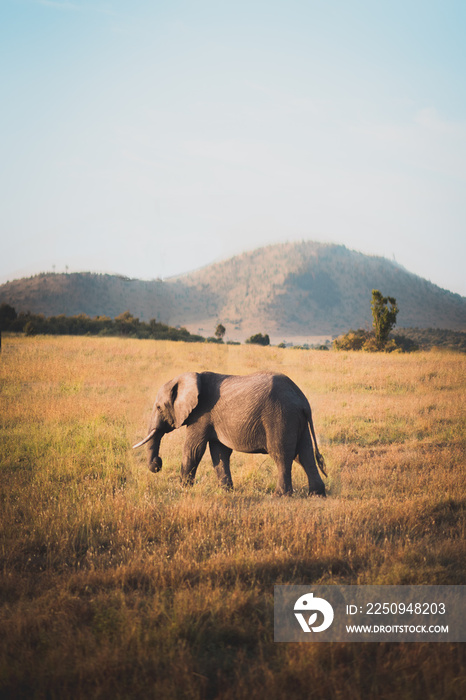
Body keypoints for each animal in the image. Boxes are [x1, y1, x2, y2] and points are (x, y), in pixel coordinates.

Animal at [132, 370, 328, 494]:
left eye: (159, 407)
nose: (158, 463)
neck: (190, 376)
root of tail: (303, 400)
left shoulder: (201, 415)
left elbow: (193, 450)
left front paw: (182, 489)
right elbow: (219, 453)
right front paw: (226, 491)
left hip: (281, 416)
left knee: (281, 455)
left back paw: (281, 495)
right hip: (297, 421)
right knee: (304, 455)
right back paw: (316, 494)